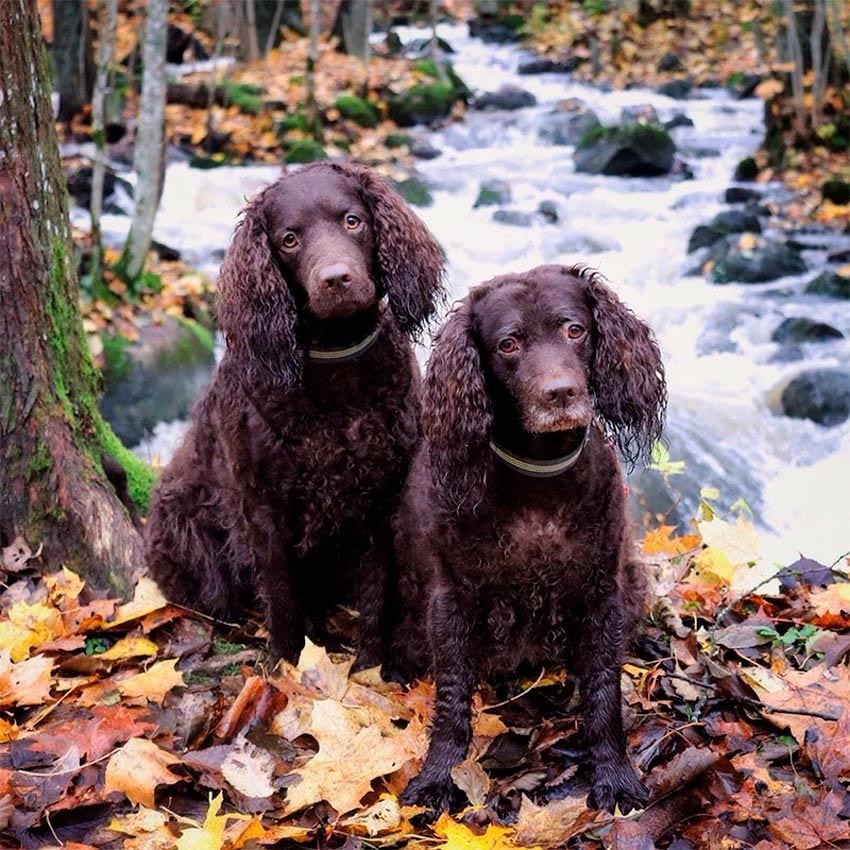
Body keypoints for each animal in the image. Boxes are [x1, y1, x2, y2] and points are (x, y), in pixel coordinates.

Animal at [147, 159, 444, 664]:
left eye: (352, 220)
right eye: (289, 239)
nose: (337, 279)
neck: (337, 366)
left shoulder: (381, 498)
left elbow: (376, 599)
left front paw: (370, 667)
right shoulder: (264, 505)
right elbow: (282, 596)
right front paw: (287, 664)